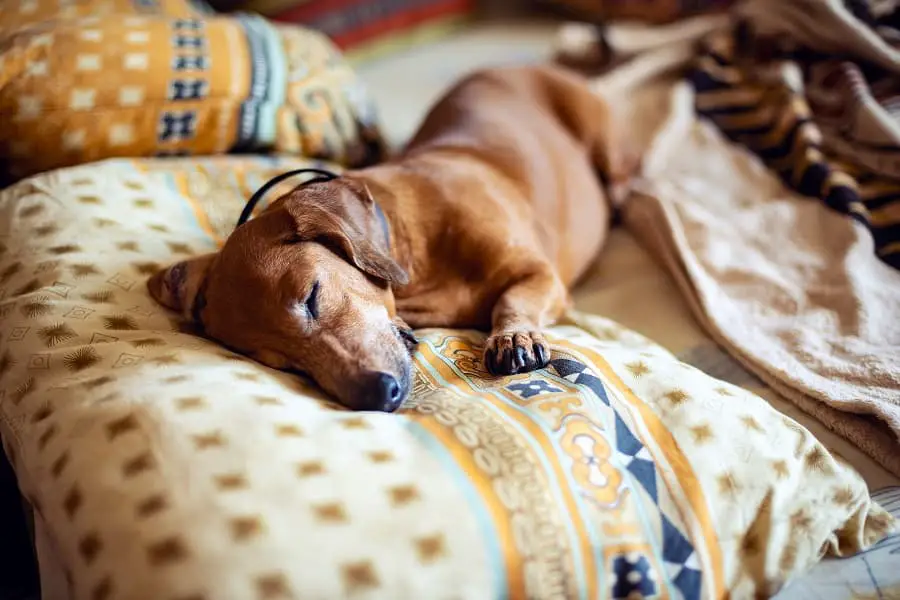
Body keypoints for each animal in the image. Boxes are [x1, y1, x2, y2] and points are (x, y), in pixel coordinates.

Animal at [148, 65, 636, 412]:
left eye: (312, 297)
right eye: (282, 363)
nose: (378, 397)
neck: (416, 253)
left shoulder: (541, 275)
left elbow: (513, 299)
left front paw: (513, 337)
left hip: (600, 133)